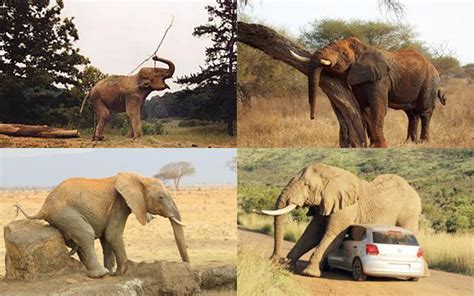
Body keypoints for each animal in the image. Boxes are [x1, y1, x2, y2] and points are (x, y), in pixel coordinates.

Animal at [14, 171, 189, 278]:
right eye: (161, 197)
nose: (187, 266)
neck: (138, 177)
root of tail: (44, 208)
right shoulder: (120, 204)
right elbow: (112, 234)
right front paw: (123, 272)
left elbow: (106, 238)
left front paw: (113, 272)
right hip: (65, 213)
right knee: (86, 233)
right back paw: (100, 274)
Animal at [260, 164, 422, 278]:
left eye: (308, 186)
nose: (273, 260)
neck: (332, 173)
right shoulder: (327, 202)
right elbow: (312, 234)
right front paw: (286, 266)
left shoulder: (347, 207)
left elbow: (333, 236)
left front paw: (309, 273)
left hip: (409, 212)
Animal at [290, 37, 446, 147]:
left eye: (343, 54)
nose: (312, 118)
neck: (362, 49)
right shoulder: (358, 79)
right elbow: (364, 108)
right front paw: (372, 144)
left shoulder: (380, 78)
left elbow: (378, 107)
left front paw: (380, 146)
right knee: (411, 114)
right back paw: (409, 142)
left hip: (429, 83)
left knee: (424, 112)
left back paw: (423, 142)